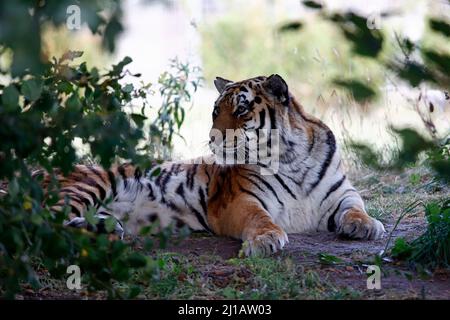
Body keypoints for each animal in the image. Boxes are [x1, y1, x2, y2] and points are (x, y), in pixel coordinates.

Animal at [36, 74, 386, 256]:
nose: (212, 137)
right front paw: (266, 240)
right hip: (87, 185)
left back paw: (103, 229)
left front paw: (367, 225)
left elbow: (356, 207)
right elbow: (260, 218)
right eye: (216, 111)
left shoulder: (342, 193)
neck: (290, 158)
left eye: (242, 110)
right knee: (42, 224)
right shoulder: (241, 199)